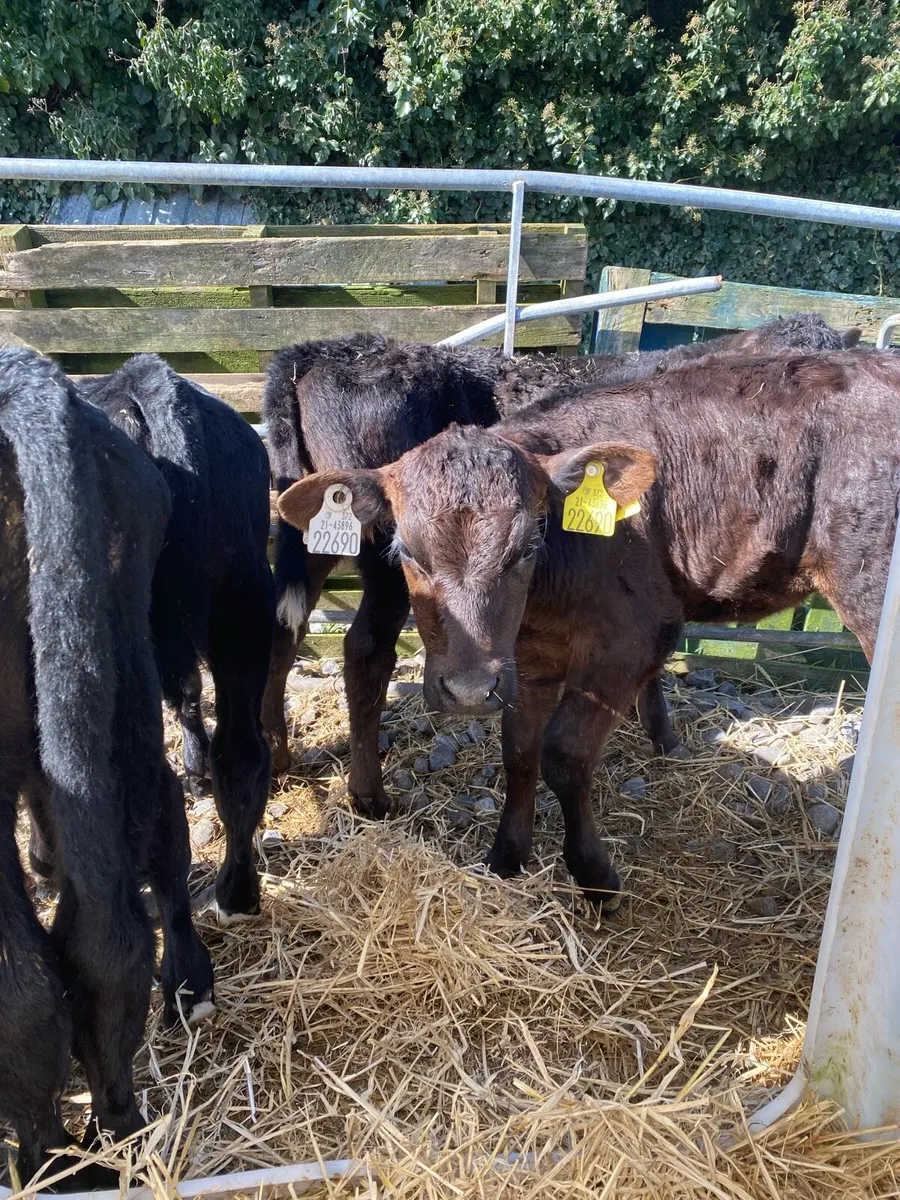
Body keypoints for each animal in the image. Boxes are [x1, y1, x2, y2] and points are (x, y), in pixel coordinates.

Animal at [276, 349, 894, 908]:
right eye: (407, 549)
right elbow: (519, 751)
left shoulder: (632, 641)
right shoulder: (529, 657)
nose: (470, 690)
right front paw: (507, 857)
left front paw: (593, 875)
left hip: (869, 584)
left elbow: (564, 756)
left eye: (530, 543)